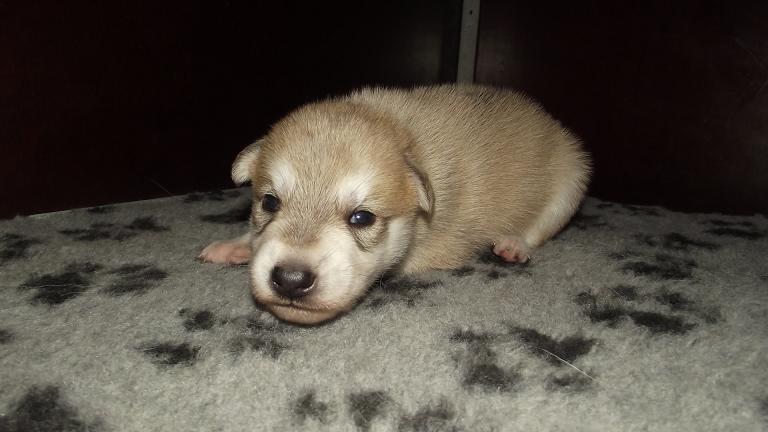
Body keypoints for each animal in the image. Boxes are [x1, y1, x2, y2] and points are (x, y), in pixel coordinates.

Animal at [201, 85, 592, 324]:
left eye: (362, 217)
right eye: (269, 202)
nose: (290, 279)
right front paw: (236, 245)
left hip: (571, 177)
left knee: (541, 226)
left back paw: (514, 244)